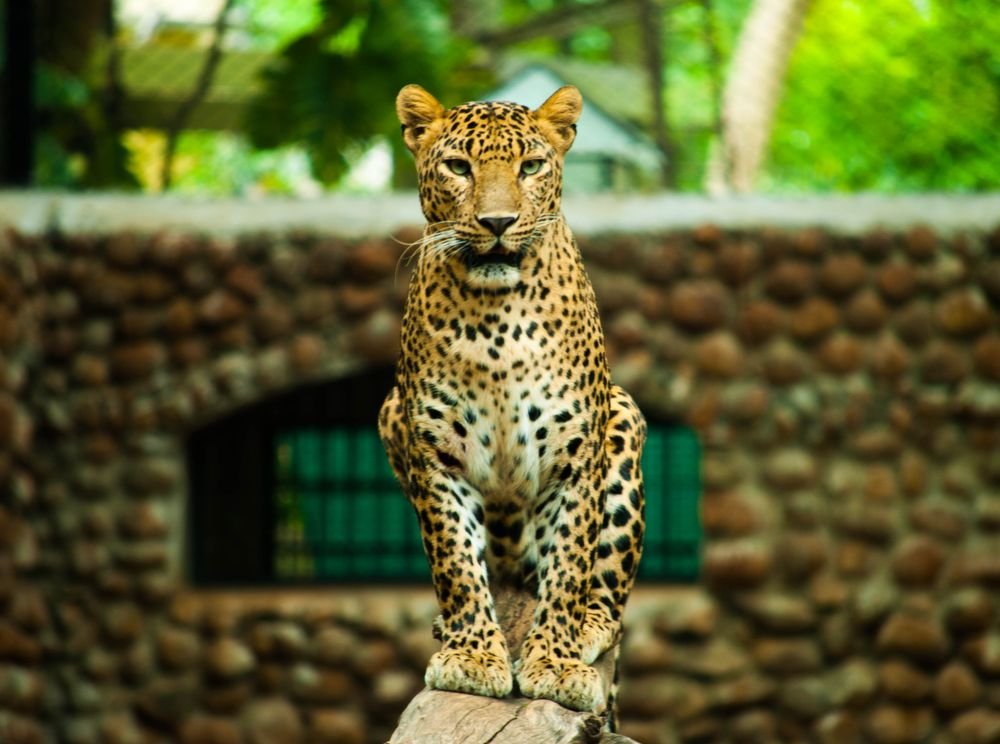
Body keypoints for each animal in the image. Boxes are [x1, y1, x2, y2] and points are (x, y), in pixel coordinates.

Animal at [379, 83, 646, 718]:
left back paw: (588, 628)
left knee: (608, 595)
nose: (497, 222)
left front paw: (556, 662)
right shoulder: (434, 451)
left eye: (530, 167)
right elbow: (454, 561)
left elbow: (570, 562)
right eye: (458, 167)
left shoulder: (578, 453)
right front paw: (472, 656)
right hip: (389, 414)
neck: (496, 321)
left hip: (624, 417)